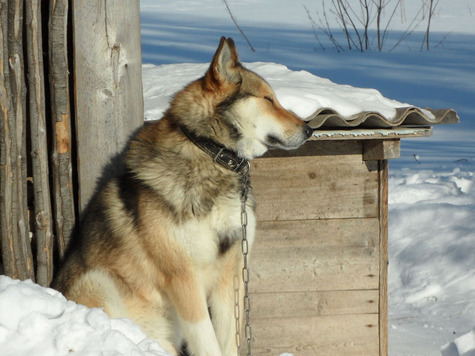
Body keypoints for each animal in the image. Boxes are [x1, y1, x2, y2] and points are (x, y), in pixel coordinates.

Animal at [52, 37, 314, 354]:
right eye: (268, 99)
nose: (310, 129)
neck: (211, 154)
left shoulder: (229, 275)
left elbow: (228, 339)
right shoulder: (183, 277)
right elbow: (207, 341)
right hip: (98, 281)